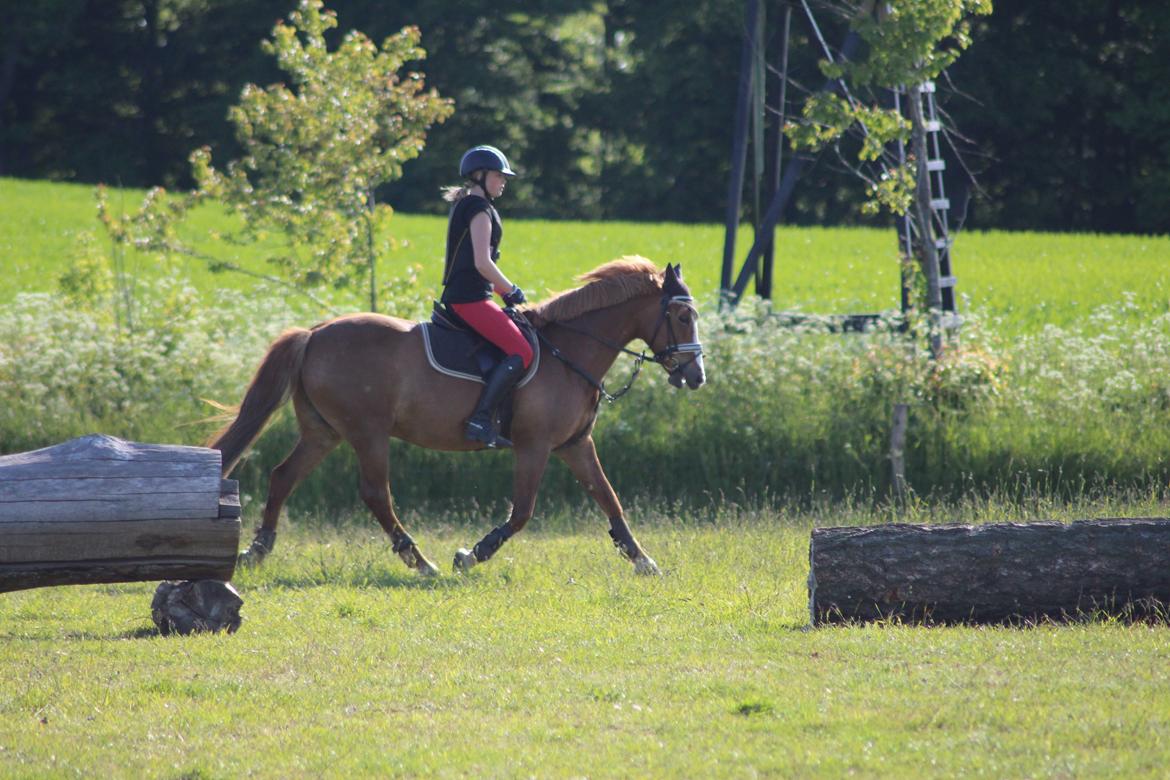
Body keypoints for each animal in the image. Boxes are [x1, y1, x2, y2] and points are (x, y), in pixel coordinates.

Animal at [209, 258, 706, 576]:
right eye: (683, 316)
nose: (696, 375)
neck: (570, 352)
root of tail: (314, 333)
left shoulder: (575, 445)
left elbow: (609, 499)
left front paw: (643, 560)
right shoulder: (535, 446)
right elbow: (522, 511)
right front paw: (472, 554)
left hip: (323, 432)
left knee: (282, 476)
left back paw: (257, 551)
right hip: (367, 432)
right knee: (375, 494)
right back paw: (420, 562)